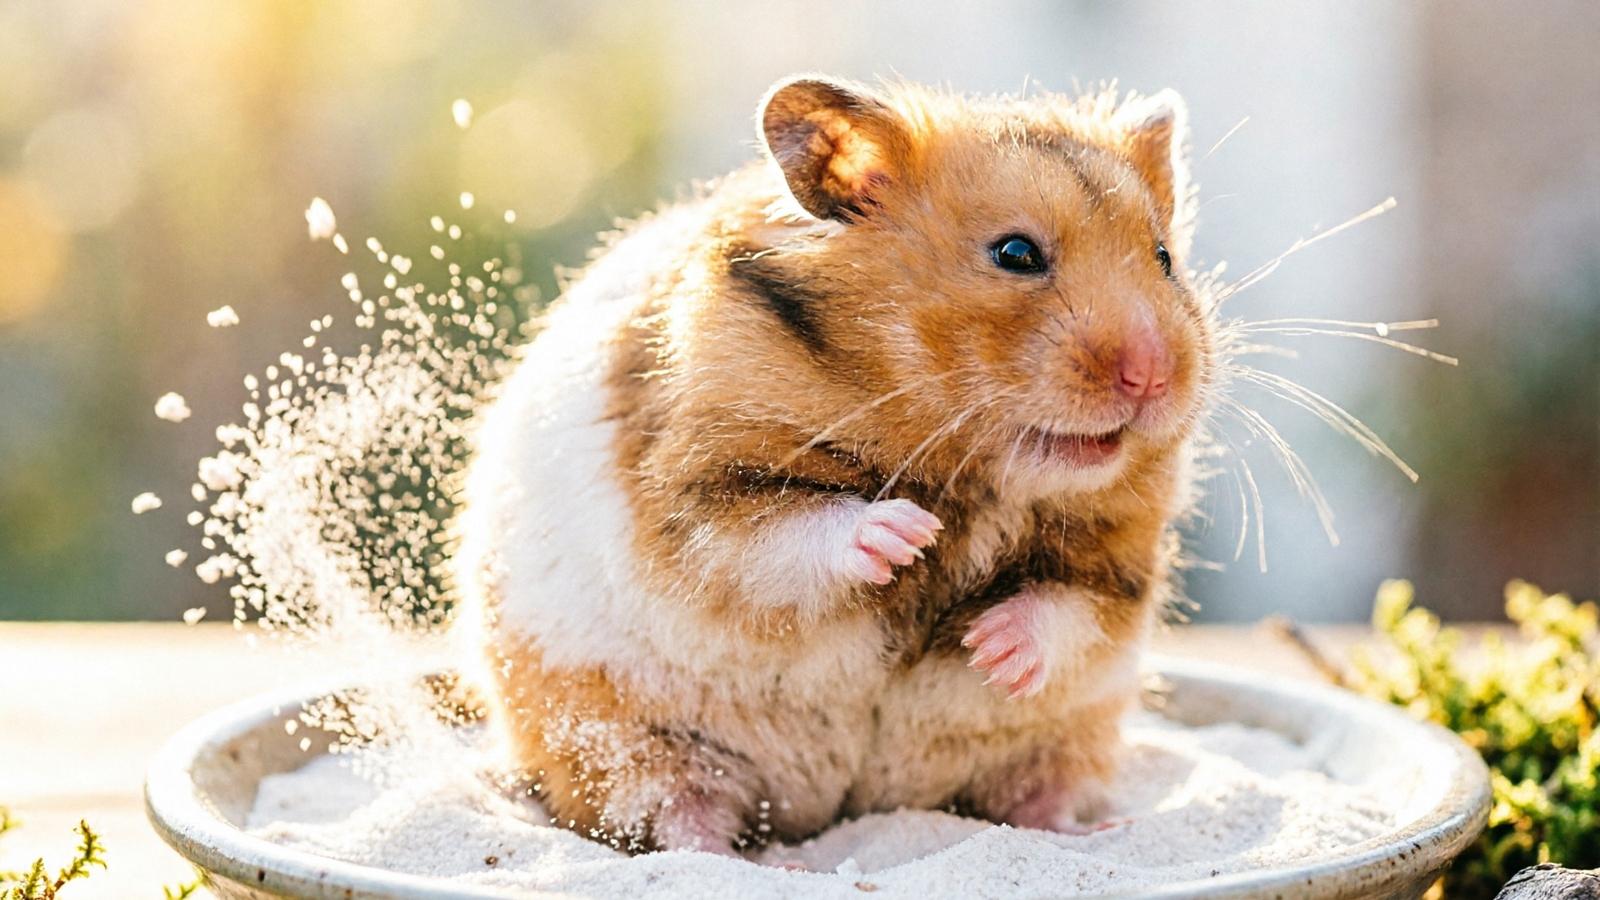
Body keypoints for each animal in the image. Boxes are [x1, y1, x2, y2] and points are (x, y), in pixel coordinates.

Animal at [455, 75, 1212, 855]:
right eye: (1015, 253)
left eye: (1163, 258)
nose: (1153, 378)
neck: (971, 466)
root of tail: (837, 806)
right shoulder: (700, 494)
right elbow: (790, 530)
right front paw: (908, 535)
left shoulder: (1116, 558)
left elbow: (1071, 608)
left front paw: (988, 648)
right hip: (621, 742)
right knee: (681, 820)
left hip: (1064, 738)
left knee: (1036, 796)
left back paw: (1097, 830)